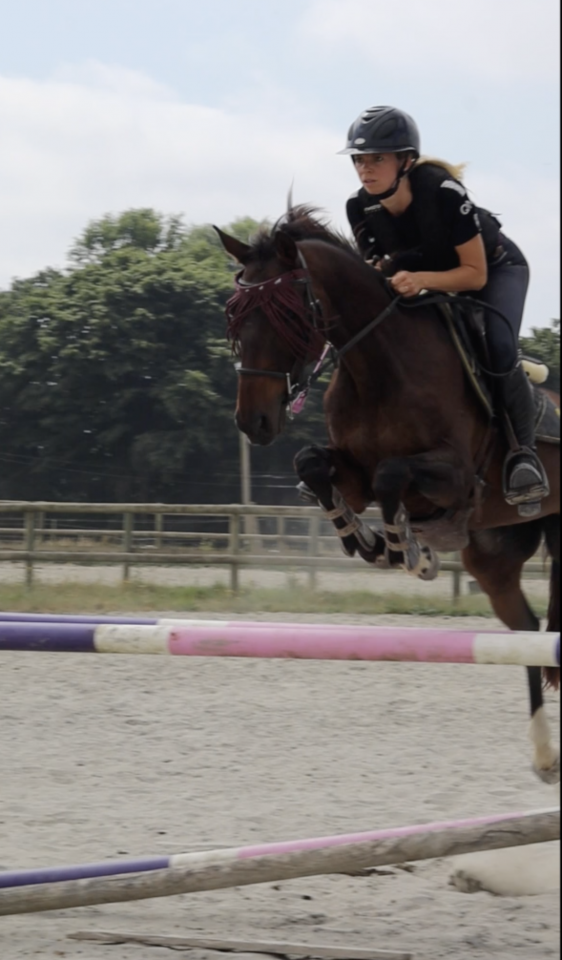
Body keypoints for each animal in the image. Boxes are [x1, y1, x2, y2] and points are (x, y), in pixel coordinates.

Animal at [215, 205, 560, 785]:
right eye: (235, 317)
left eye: (289, 313)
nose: (252, 422)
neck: (379, 364)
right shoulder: (349, 468)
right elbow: (315, 466)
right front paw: (368, 542)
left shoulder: (458, 475)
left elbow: (392, 476)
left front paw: (409, 550)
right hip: (494, 556)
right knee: (530, 632)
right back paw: (543, 755)